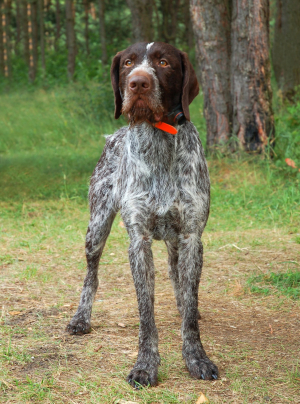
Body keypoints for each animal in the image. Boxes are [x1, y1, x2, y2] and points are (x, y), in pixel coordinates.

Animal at [67, 41, 218, 388]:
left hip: (175, 242)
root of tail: (114, 135)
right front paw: (145, 365)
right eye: (127, 63)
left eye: (163, 62)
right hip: (96, 228)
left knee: (179, 279)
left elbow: (190, 302)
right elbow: (145, 312)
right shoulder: (139, 240)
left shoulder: (191, 236)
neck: (159, 138)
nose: (138, 83)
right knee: (91, 275)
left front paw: (196, 357)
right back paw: (81, 317)